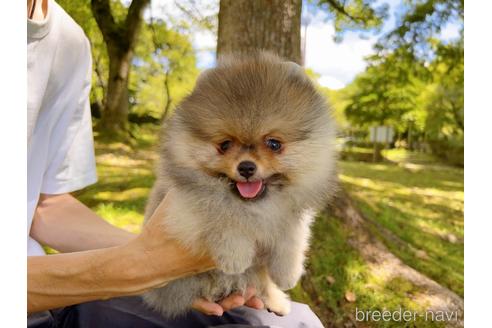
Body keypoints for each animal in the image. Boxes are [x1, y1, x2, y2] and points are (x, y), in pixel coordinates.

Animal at [140, 51, 336, 318]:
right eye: (224, 145)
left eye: (274, 144)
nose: (246, 167)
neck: (256, 205)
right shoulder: (184, 205)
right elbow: (224, 219)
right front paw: (234, 257)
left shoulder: (292, 217)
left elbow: (291, 240)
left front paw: (288, 274)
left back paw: (276, 300)